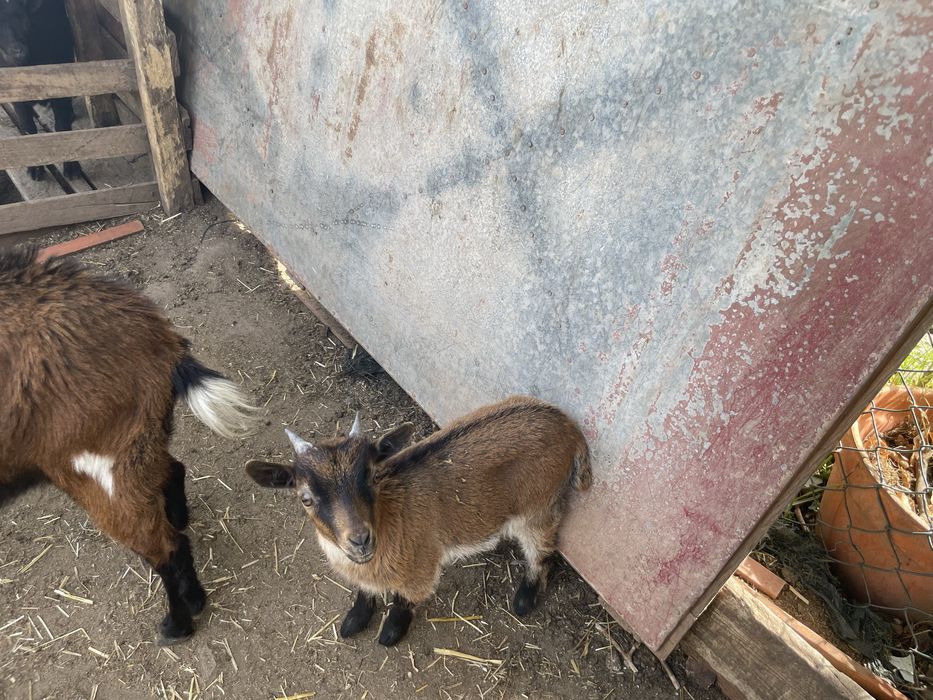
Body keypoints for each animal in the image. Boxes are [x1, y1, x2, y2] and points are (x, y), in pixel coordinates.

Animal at [0, 0, 95, 180]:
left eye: (22, 18)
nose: (18, 51)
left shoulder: (60, 84)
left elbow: (62, 126)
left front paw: (72, 167)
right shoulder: (15, 95)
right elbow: (28, 126)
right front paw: (35, 169)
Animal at [0, 247, 257, 645]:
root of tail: (160, 340)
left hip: (95, 465)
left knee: (166, 547)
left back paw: (178, 625)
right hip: (138, 441)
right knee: (172, 475)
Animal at [246, 396, 591, 646]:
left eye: (372, 476)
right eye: (306, 498)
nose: (360, 540)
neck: (387, 516)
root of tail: (567, 426)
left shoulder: (420, 567)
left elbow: (404, 601)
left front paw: (390, 633)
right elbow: (365, 592)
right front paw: (354, 620)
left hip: (538, 508)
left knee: (543, 550)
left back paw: (524, 599)